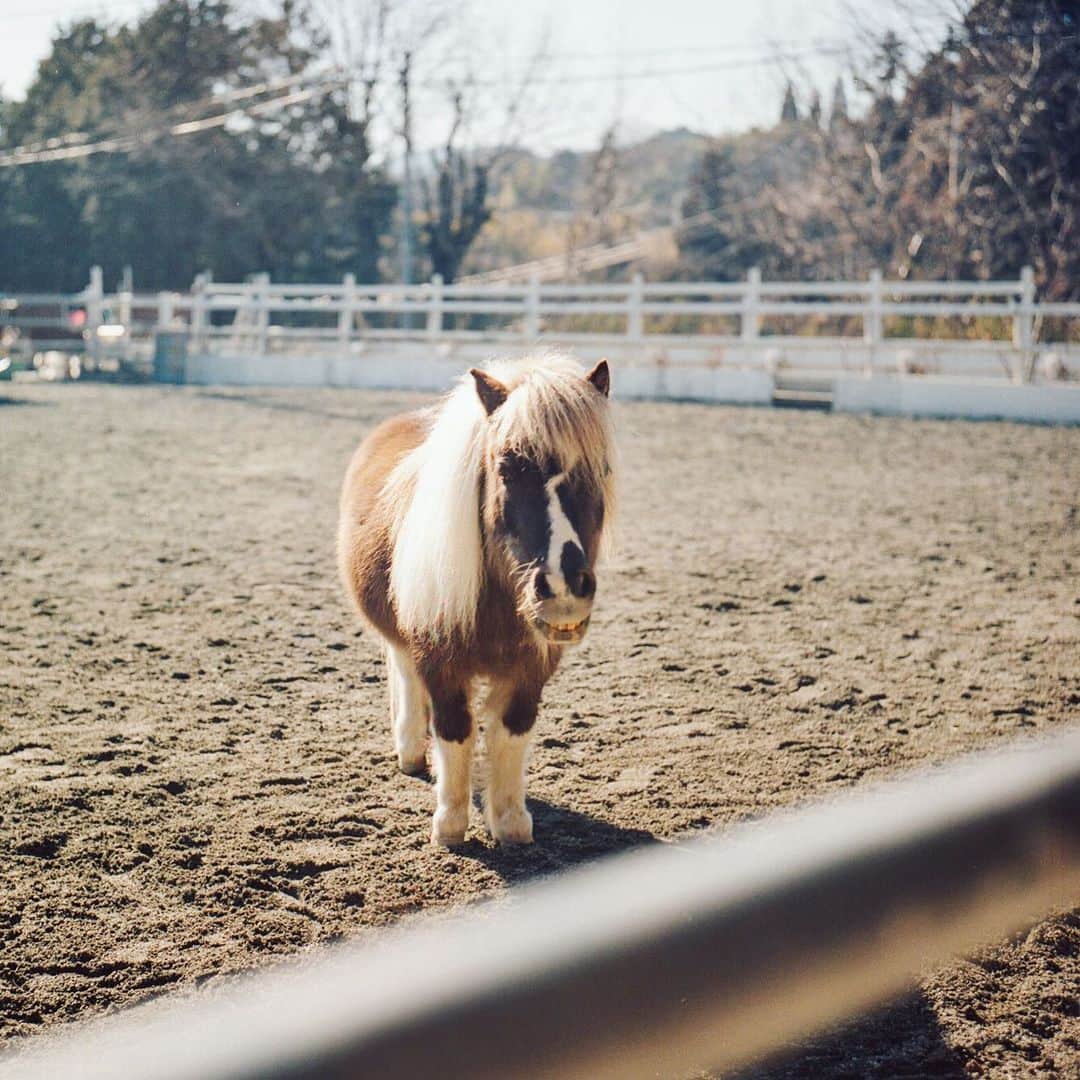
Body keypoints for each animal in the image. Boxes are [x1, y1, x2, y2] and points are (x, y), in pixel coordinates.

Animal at [337, 353, 615, 846]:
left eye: (600, 470)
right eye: (505, 470)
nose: (562, 588)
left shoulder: (531, 669)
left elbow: (511, 734)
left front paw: (511, 822)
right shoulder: (438, 659)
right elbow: (454, 732)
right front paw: (449, 824)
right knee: (404, 675)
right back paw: (410, 750)